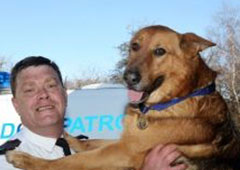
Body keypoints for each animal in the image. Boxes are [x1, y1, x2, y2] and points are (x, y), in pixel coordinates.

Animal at [5, 25, 240, 170]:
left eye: (160, 51)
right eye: (135, 46)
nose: (128, 77)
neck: (176, 98)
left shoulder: (125, 150)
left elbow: (71, 161)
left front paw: (27, 160)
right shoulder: (125, 141)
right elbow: (91, 143)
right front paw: (69, 138)